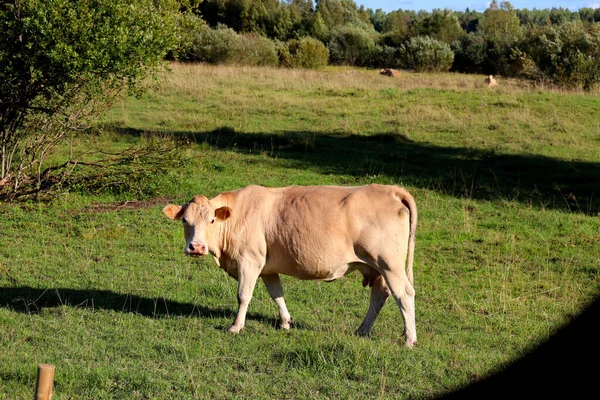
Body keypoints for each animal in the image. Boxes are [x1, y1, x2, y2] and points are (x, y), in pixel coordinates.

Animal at [162, 184, 420, 346]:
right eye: (185, 221)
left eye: (212, 220)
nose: (196, 247)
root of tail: (390, 189)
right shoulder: (267, 267)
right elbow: (277, 294)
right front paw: (285, 322)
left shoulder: (249, 260)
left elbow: (243, 295)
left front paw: (236, 326)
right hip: (378, 267)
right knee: (380, 294)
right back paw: (362, 330)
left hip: (390, 264)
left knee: (404, 294)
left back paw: (409, 339)